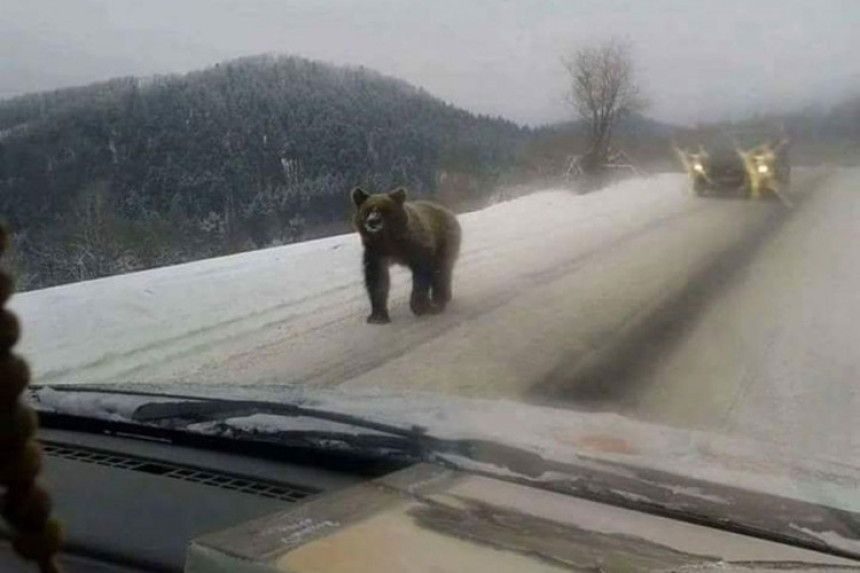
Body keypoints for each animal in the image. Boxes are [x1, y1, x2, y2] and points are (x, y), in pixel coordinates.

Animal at [350, 187, 460, 322]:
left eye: (384, 210)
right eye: (367, 210)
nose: (373, 221)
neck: (390, 242)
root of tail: (449, 212)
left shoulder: (417, 247)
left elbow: (422, 274)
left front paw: (419, 306)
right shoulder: (376, 253)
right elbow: (377, 279)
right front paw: (378, 316)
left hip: (445, 242)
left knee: (442, 270)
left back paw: (439, 300)